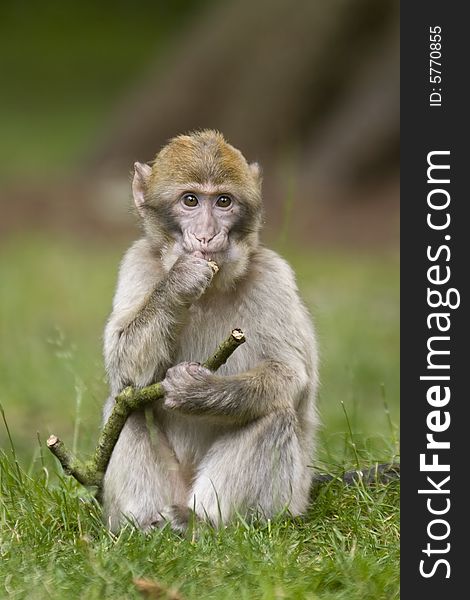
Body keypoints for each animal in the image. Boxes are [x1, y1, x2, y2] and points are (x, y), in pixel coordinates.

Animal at [101, 130, 318, 528]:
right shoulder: (137, 262)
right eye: (190, 200)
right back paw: (145, 524)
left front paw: (197, 391)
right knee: (125, 404)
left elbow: (288, 373)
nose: (206, 235)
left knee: (275, 413)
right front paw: (181, 280)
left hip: (286, 501)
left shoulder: (273, 274)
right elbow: (123, 366)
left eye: (223, 201)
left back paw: (206, 522)